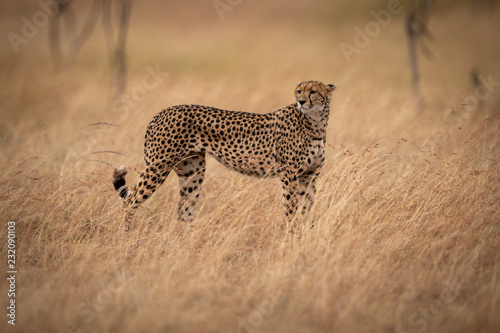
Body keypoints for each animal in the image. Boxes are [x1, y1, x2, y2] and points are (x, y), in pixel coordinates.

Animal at [113, 80, 338, 231]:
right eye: (299, 91)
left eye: (313, 91)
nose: (301, 101)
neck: (315, 123)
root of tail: (162, 112)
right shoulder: (289, 174)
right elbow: (291, 208)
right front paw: (292, 237)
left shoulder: (309, 175)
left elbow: (307, 208)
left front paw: (306, 234)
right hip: (158, 167)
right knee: (130, 201)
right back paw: (127, 237)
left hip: (192, 173)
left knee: (183, 211)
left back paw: (186, 242)